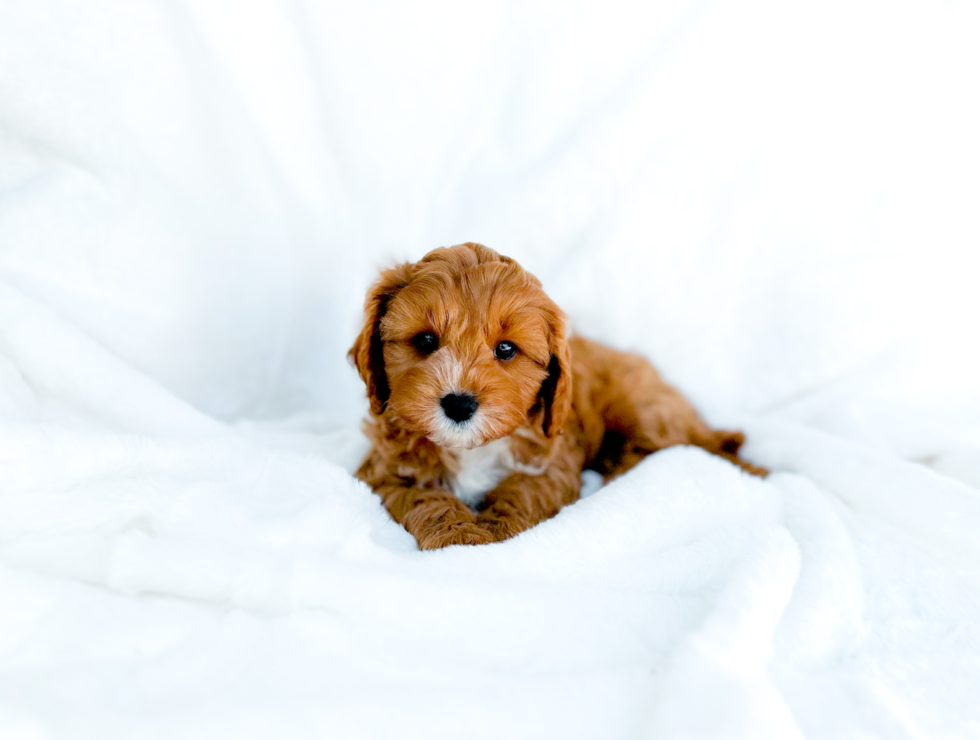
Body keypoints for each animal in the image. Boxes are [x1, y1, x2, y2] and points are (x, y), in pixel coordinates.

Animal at [350, 243, 764, 548]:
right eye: (425, 340)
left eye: (506, 349)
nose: (459, 403)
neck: (473, 450)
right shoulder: (385, 469)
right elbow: (426, 498)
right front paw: (459, 535)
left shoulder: (553, 458)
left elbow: (522, 490)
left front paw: (493, 532)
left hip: (646, 410)